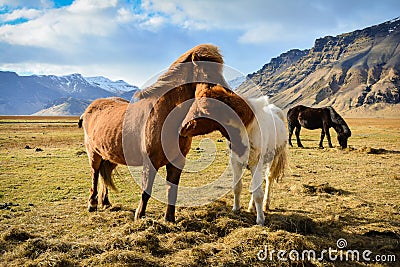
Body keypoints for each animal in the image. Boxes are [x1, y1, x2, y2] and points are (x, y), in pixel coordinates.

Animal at [79, 45, 247, 223]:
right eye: (207, 71)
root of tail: (88, 110)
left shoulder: (177, 162)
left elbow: (172, 190)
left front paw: (169, 219)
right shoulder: (150, 162)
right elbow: (146, 190)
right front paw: (140, 216)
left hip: (110, 156)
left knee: (105, 175)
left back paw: (105, 202)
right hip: (94, 155)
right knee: (95, 175)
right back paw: (92, 204)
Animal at [180, 85, 288, 225]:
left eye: (204, 108)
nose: (182, 128)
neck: (245, 127)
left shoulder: (255, 164)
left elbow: (258, 193)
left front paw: (260, 220)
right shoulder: (235, 162)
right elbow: (238, 187)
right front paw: (236, 209)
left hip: (274, 158)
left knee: (268, 178)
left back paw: (265, 205)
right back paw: (251, 207)